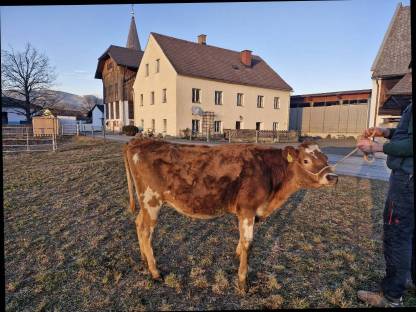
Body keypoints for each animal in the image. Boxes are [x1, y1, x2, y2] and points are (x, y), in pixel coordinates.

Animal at [122, 138, 338, 292]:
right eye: (306, 160)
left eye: (326, 159)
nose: (332, 177)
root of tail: (139, 141)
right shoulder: (248, 208)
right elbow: (248, 243)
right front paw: (243, 282)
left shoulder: (246, 212)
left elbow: (242, 239)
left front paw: (236, 256)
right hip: (151, 200)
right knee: (146, 231)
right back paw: (155, 272)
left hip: (146, 204)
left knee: (138, 223)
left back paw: (144, 259)